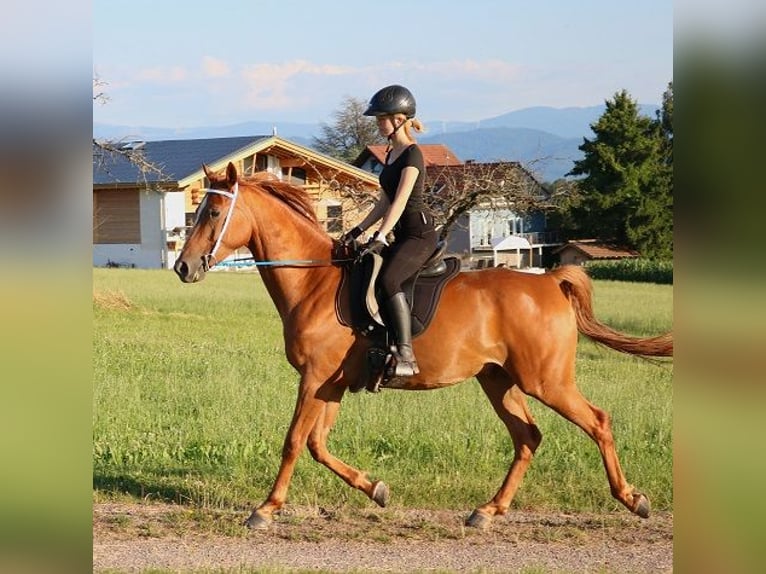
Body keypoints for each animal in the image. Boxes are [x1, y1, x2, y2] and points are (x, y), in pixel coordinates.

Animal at [174, 162, 672, 530]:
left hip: (545, 380)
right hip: (499, 380)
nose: (183, 267)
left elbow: (294, 441)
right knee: (528, 437)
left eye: (213, 214)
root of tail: (549, 281)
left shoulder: (314, 378)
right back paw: (488, 511)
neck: (314, 281)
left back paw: (633, 499)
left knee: (598, 422)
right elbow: (317, 443)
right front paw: (375, 488)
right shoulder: (330, 383)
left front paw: (265, 509)